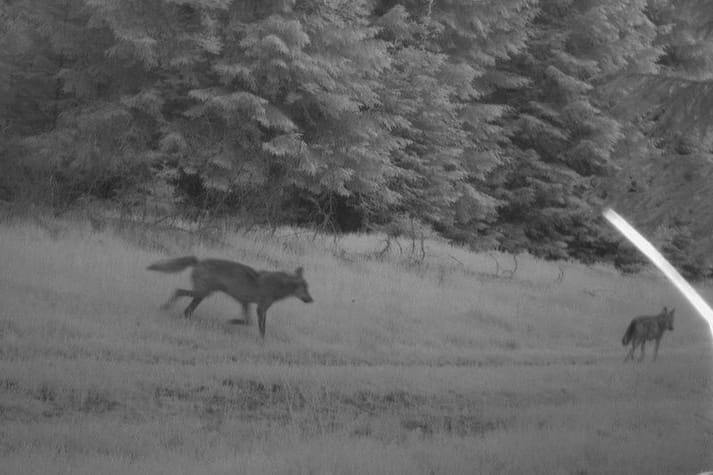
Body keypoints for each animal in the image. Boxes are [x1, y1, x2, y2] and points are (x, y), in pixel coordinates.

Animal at [146, 256, 312, 338]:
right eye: (305, 289)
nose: (312, 300)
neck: (278, 285)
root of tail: (199, 261)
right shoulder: (260, 308)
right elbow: (259, 327)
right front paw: (261, 341)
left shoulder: (246, 302)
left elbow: (248, 321)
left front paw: (232, 322)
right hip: (202, 293)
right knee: (178, 291)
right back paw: (165, 307)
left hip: (203, 295)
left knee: (187, 309)